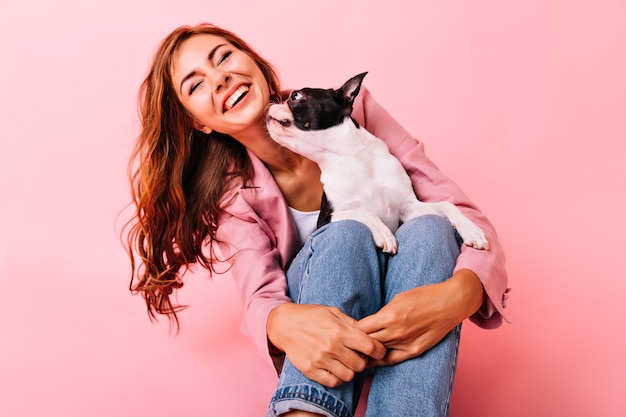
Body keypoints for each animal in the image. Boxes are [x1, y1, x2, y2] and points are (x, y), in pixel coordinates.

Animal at [266, 72, 486, 252]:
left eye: (295, 96)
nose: (273, 102)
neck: (349, 157)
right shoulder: (326, 220)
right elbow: (363, 211)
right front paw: (383, 233)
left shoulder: (409, 208)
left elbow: (447, 204)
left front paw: (471, 230)